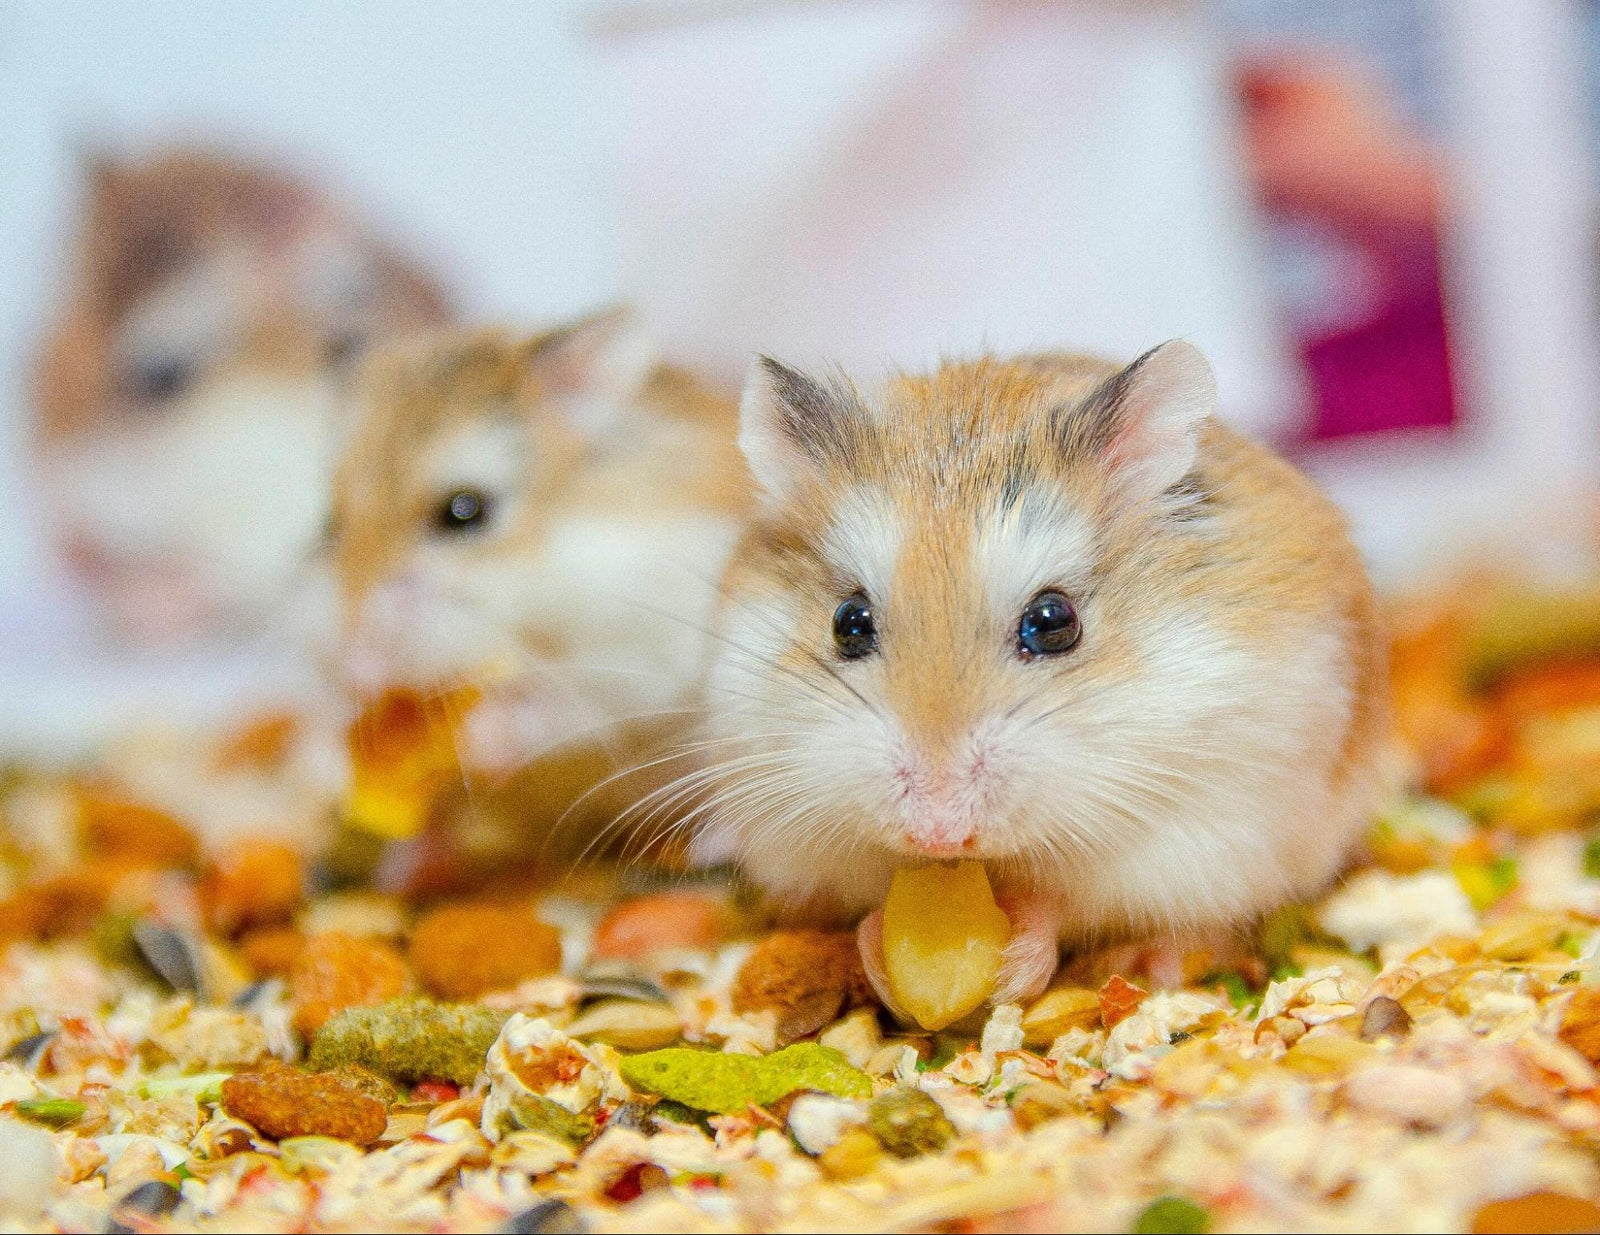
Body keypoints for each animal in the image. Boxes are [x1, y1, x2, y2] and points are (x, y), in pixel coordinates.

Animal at [329, 309, 750, 846]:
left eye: (463, 511)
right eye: (333, 522)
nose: (355, 668)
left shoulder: (642, 662)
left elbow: (572, 707)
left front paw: (478, 742)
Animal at [695, 342, 1388, 1001]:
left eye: (1053, 622)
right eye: (848, 622)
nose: (937, 834)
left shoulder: (1179, 832)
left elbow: (1061, 901)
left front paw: (1014, 967)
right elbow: (870, 901)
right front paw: (877, 956)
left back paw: (1153, 963)